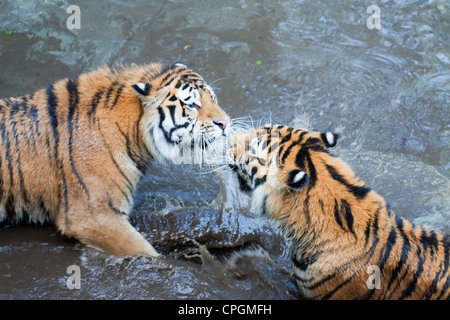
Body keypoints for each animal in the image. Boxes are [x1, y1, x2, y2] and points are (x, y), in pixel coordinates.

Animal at [0, 62, 230, 258]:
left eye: (213, 97)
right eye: (192, 105)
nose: (225, 123)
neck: (133, 130)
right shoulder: (95, 216)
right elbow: (147, 253)